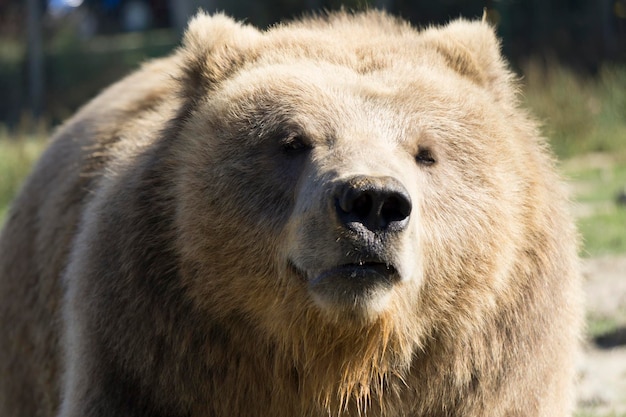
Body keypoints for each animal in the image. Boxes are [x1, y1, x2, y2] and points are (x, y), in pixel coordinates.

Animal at [0, 9, 580, 416]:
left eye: (426, 152)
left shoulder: (482, 379)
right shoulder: (154, 357)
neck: (337, 362)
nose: (372, 203)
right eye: (292, 141)